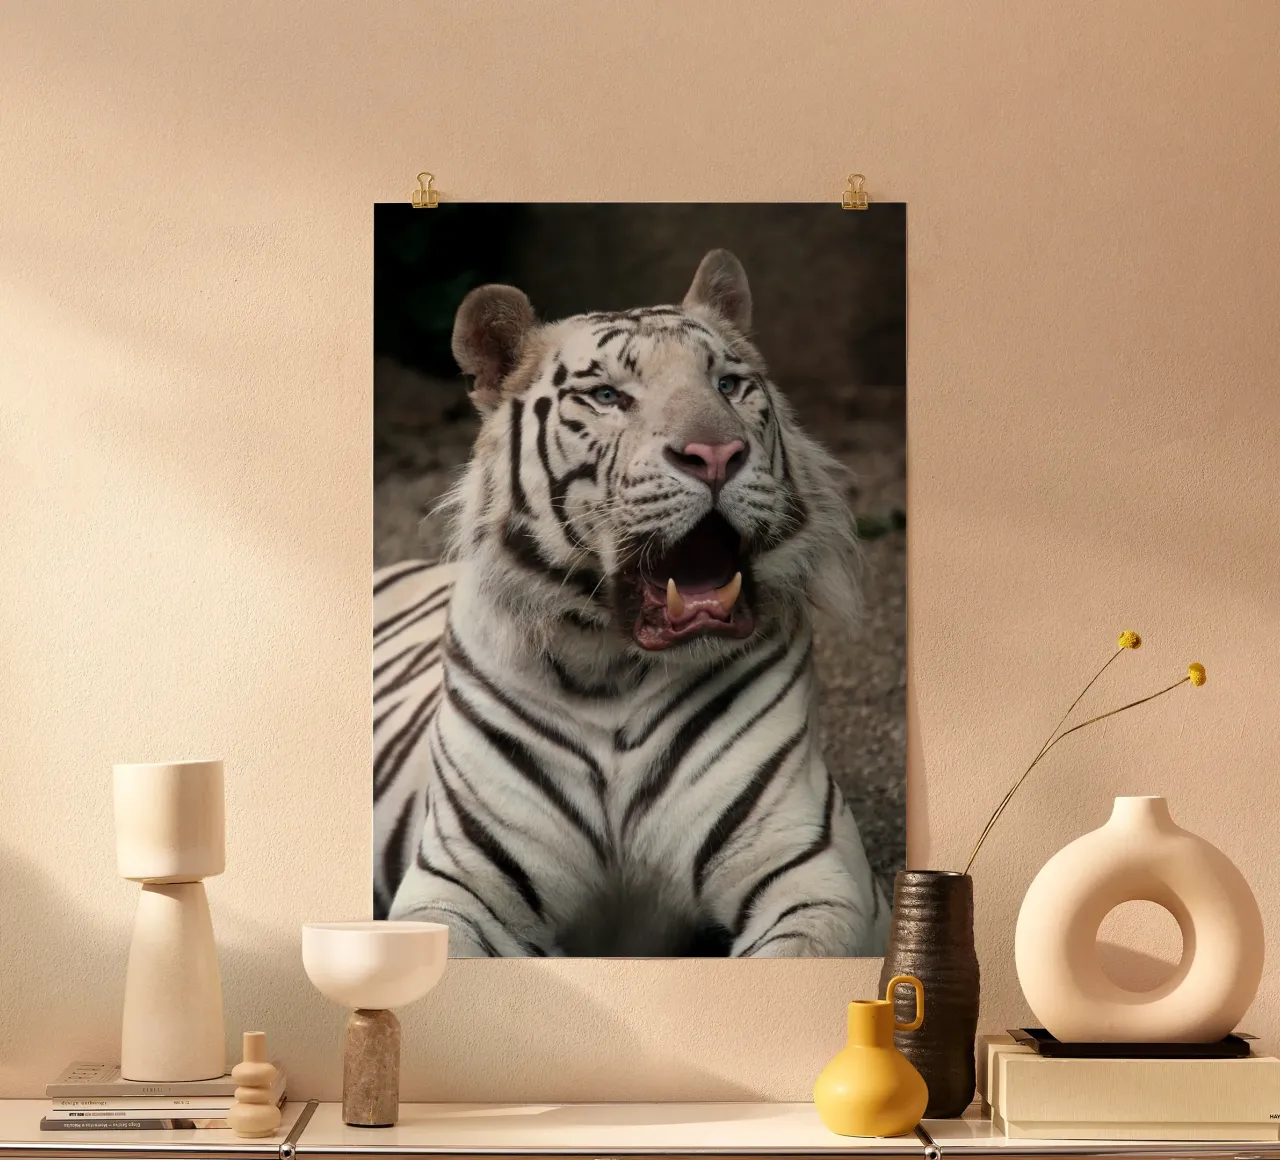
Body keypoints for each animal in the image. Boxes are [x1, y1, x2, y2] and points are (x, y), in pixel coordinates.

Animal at [373, 248, 891, 957]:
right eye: (608, 397)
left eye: (729, 385)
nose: (717, 454)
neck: (609, 670)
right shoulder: (461, 881)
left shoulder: (812, 868)